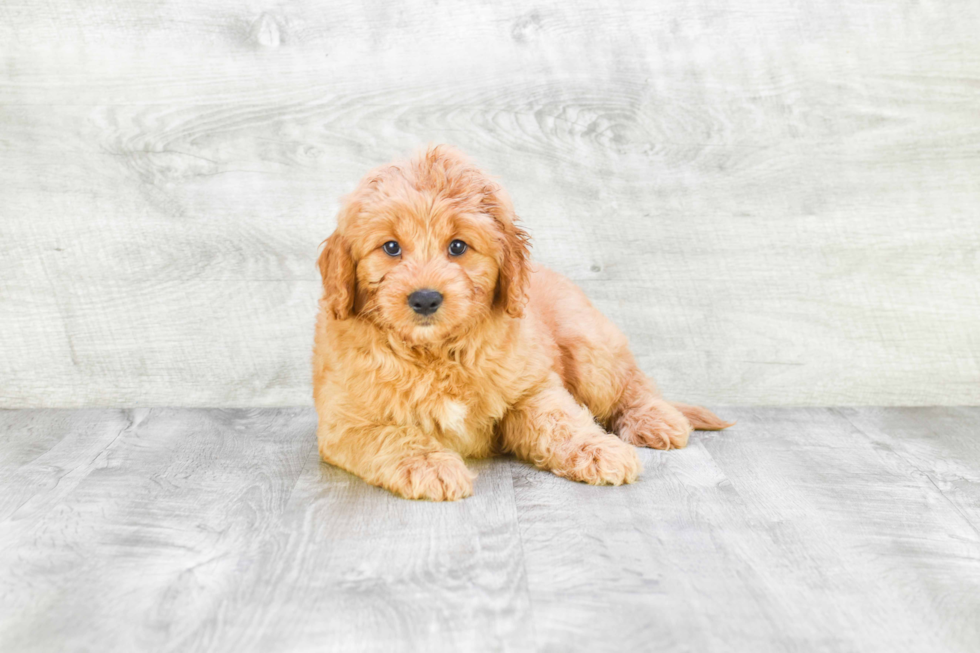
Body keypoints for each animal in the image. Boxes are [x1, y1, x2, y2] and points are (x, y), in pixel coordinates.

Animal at [312, 146, 728, 500]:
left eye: (458, 246)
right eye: (391, 247)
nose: (425, 298)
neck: (437, 352)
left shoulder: (532, 387)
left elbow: (560, 420)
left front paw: (598, 449)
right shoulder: (346, 421)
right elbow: (393, 435)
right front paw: (431, 466)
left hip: (590, 348)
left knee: (631, 384)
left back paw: (657, 420)